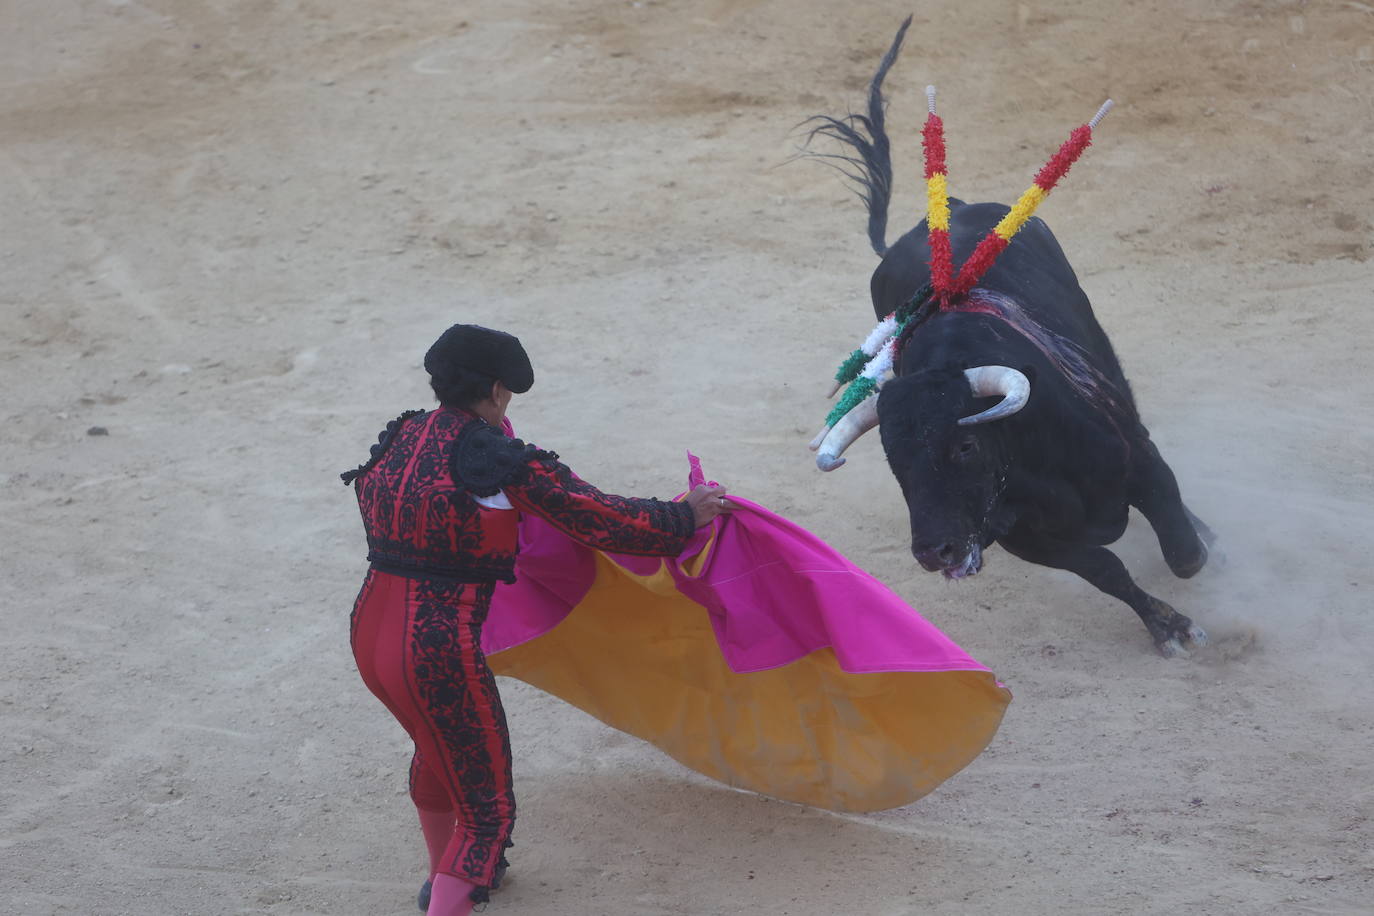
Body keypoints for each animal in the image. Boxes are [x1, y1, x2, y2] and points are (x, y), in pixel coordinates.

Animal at [813, 21, 1214, 656]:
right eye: (894, 459)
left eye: (964, 445)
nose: (935, 552)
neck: (1026, 451)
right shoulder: (1030, 539)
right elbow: (1110, 573)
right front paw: (1167, 626)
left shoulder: (1141, 463)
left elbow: (1183, 556)